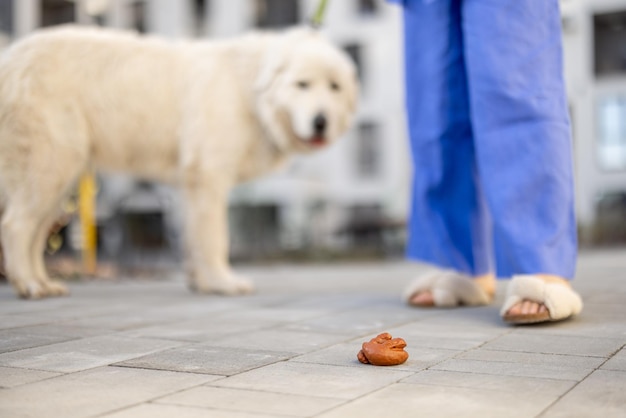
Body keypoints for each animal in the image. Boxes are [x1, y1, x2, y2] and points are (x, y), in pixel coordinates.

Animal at [0, 26, 356, 298]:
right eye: (302, 84)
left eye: (334, 87)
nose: (321, 122)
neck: (247, 89)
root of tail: (10, 57)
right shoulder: (208, 177)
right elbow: (214, 238)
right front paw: (223, 283)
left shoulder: (191, 186)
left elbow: (193, 239)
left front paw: (202, 283)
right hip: (51, 166)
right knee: (16, 225)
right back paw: (30, 284)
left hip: (60, 179)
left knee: (35, 234)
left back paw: (41, 283)